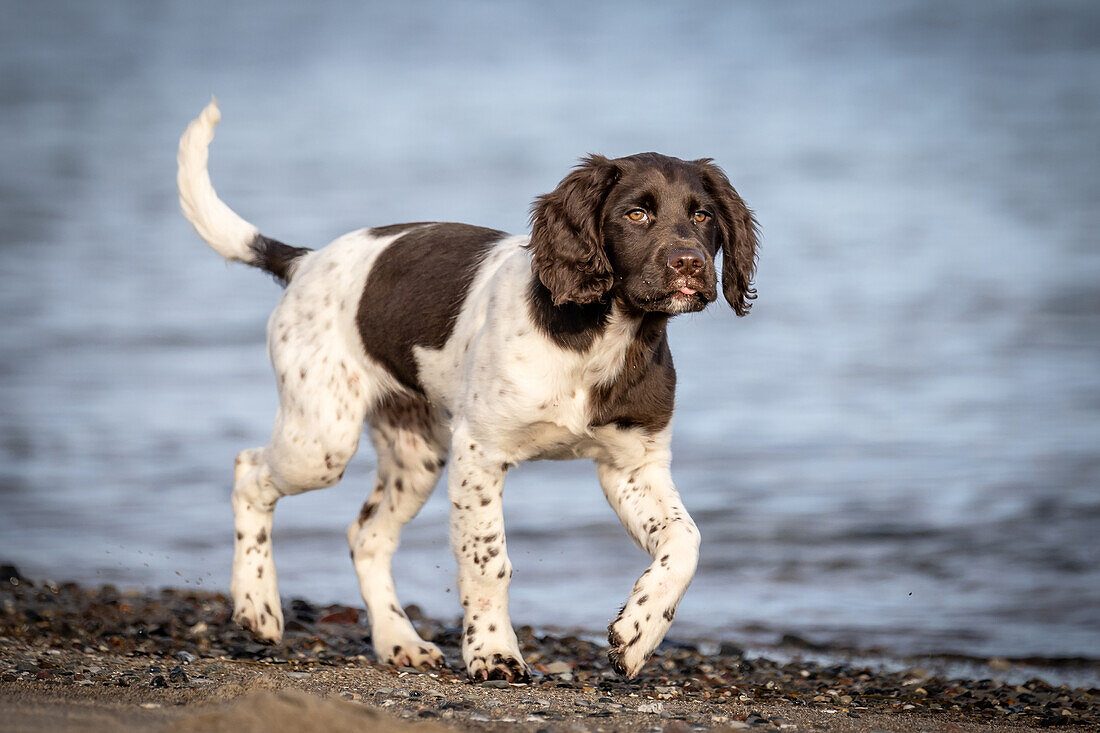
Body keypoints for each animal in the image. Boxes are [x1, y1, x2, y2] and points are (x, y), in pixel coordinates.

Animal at [176, 98, 761, 677]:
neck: (602, 336)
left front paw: (639, 633)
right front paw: (494, 652)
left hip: (414, 454)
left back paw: (398, 640)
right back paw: (257, 605)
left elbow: (686, 540)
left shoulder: (633, 465)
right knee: (250, 472)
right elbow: (488, 559)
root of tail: (304, 261)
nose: (689, 265)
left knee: (366, 536)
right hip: (322, 439)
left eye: (703, 216)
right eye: (636, 214)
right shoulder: (480, 451)